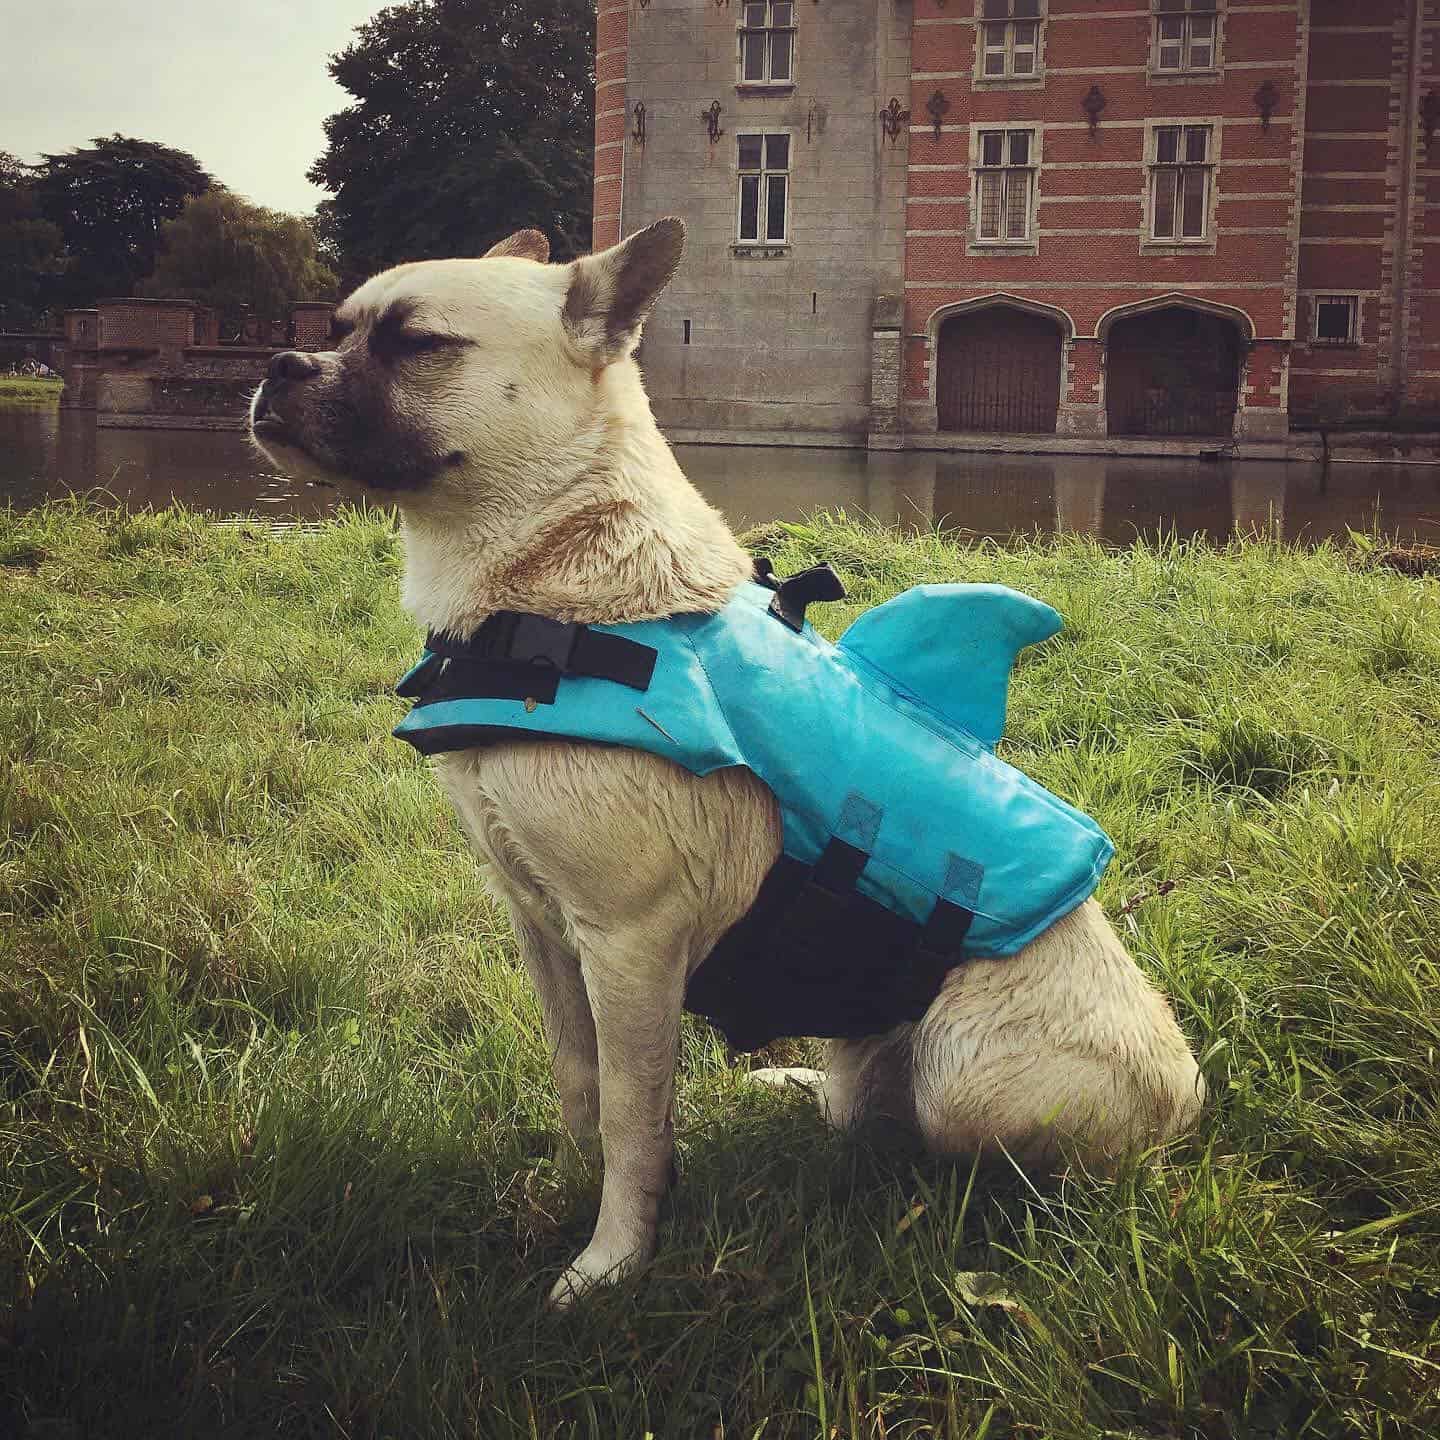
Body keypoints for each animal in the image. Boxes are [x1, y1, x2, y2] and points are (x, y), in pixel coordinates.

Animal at [250, 218, 1203, 1313]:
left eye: (416, 345)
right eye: (336, 329)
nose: (278, 365)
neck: (552, 592)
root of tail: (1189, 1103)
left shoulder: (630, 946)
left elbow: (635, 1117)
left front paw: (611, 1260)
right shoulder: (540, 926)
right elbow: (579, 1085)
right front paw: (563, 1189)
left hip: (974, 1081)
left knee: (980, 1153)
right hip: (860, 1041)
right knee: (856, 1107)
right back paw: (799, 1091)